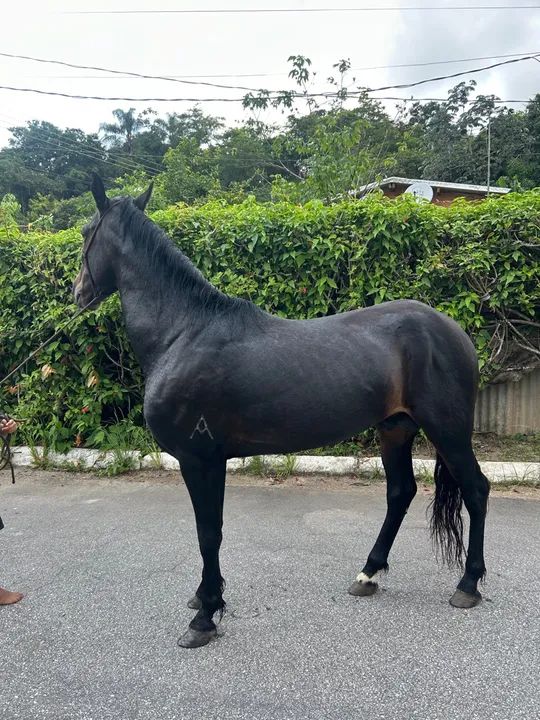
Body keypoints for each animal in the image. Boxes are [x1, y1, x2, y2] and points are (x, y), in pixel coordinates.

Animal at [73, 175, 490, 648]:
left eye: (86, 232)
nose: (78, 293)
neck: (182, 334)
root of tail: (454, 330)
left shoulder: (201, 460)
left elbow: (208, 533)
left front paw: (206, 616)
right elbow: (209, 532)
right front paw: (203, 599)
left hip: (447, 430)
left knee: (476, 490)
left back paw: (468, 585)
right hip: (395, 429)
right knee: (400, 492)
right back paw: (367, 574)